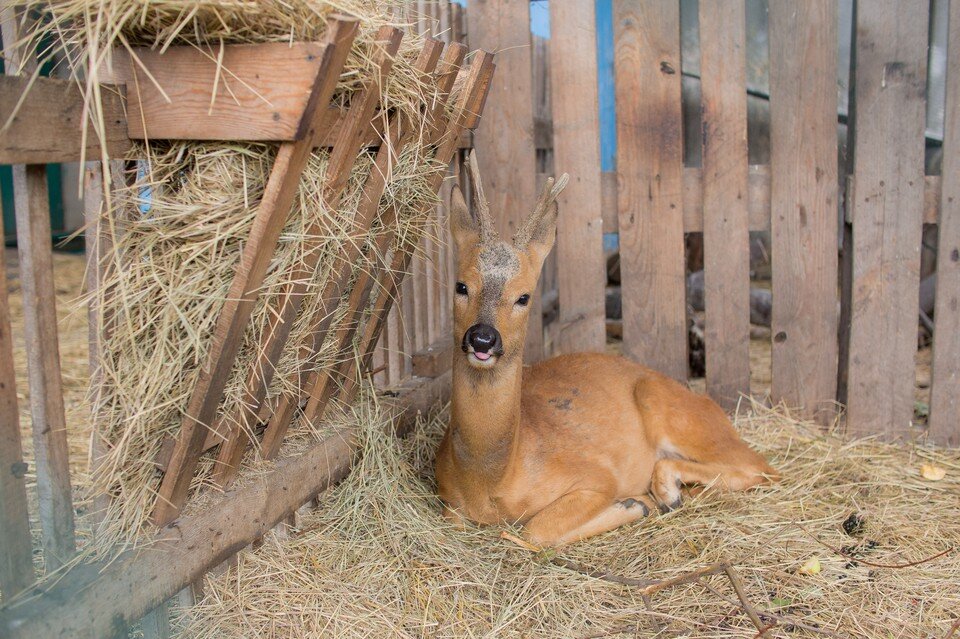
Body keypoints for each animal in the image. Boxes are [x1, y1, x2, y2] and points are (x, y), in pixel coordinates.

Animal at [436, 152, 780, 548]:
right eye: (461, 286)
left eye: (524, 296)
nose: (482, 338)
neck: (491, 480)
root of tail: (714, 409)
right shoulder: (446, 501)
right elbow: (462, 521)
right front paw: (637, 504)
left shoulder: (596, 476)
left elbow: (535, 531)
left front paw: (632, 504)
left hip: (674, 411)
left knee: (762, 468)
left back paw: (664, 493)